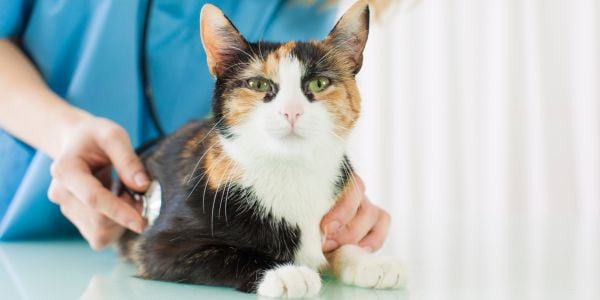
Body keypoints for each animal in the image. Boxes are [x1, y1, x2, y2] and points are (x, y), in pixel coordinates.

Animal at [118, 0, 404, 298]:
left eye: (319, 83)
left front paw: (367, 260)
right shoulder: (160, 246)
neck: (290, 171)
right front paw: (285, 271)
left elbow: (339, 244)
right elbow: (229, 253)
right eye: (258, 84)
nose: (292, 111)